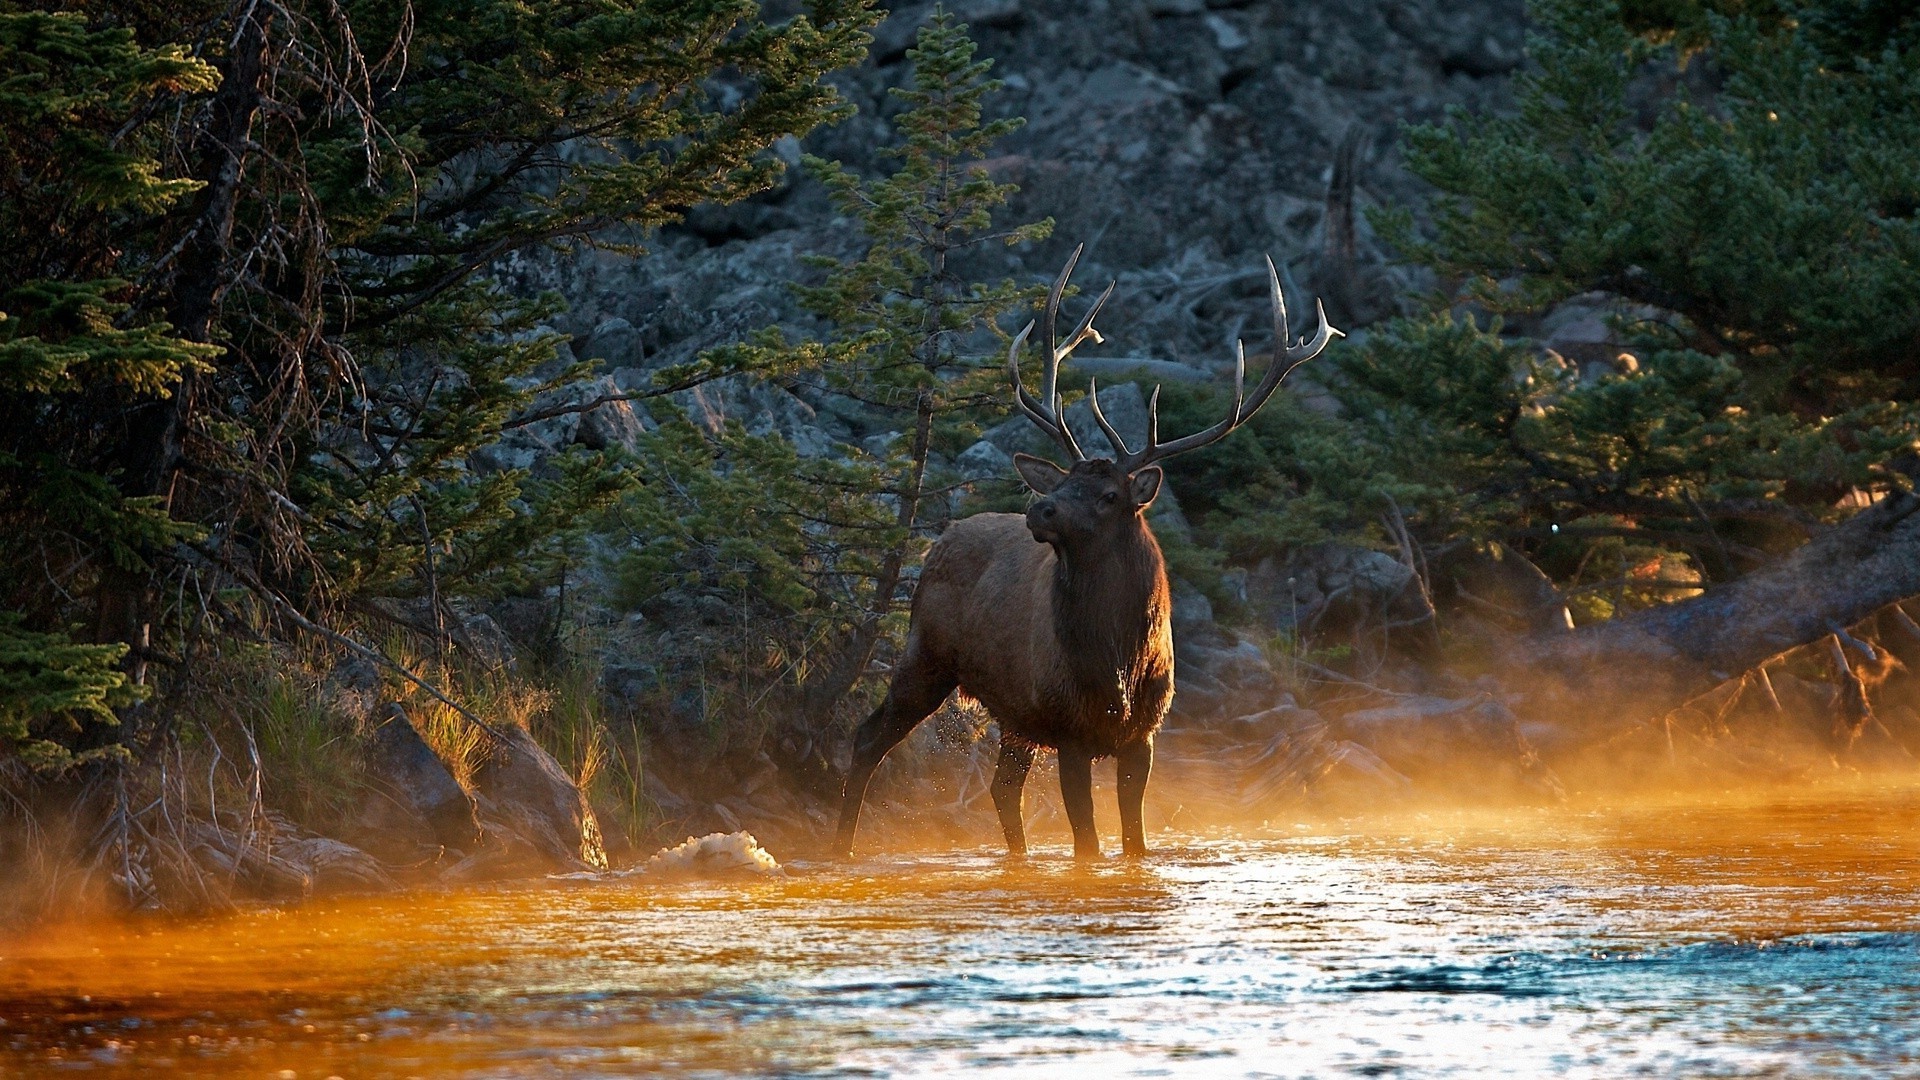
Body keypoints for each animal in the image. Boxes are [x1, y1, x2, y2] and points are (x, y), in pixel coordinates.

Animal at [832, 246, 1337, 860]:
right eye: (1067, 479)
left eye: (1109, 494)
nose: (1040, 508)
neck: (1116, 663)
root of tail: (937, 543)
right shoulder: (1069, 729)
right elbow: (1088, 844)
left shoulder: (1142, 734)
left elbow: (1134, 841)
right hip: (925, 652)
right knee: (868, 737)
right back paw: (840, 847)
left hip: (1015, 712)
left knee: (1002, 788)